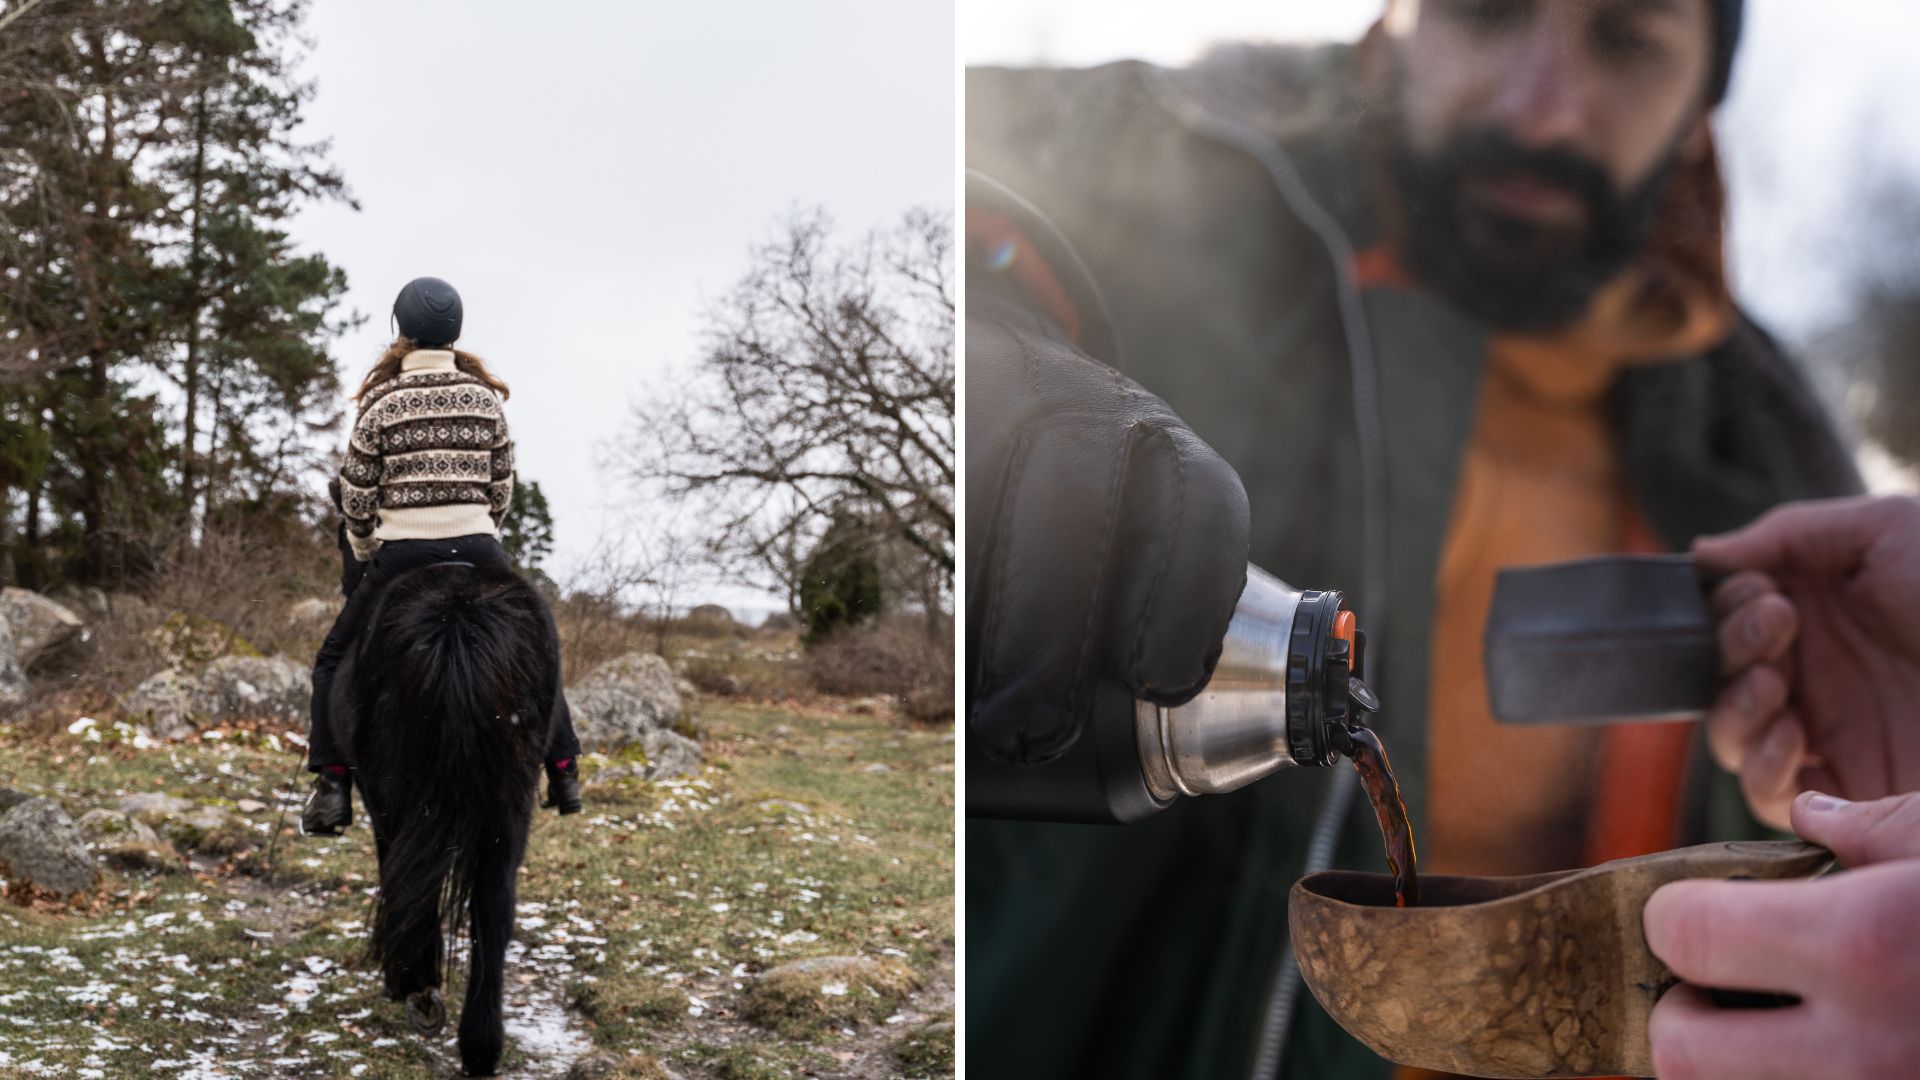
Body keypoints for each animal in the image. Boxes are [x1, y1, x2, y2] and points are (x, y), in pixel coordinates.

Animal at [328, 553, 556, 1068]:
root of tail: (459, 615)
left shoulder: (379, 802)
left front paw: (407, 980)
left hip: (395, 793)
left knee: (411, 884)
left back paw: (420, 991)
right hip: (511, 804)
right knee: (494, 905)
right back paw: (481, 1047)